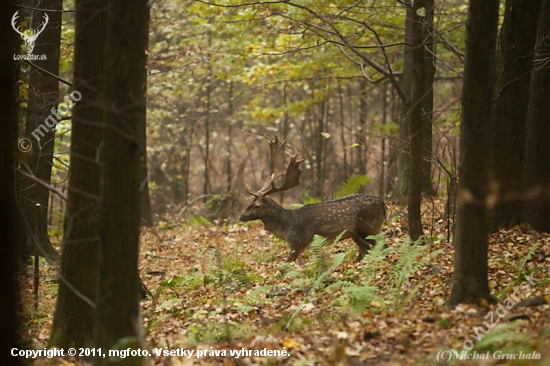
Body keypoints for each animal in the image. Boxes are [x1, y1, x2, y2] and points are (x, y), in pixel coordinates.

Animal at [240, 136, 388, 262]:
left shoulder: (299, 243)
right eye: (250, 202)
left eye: (257, 205)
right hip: (357, 234)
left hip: (370, 227)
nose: (241, 217)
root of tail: (383, 204)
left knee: (382, 245)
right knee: (365, 250)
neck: (287, 227)